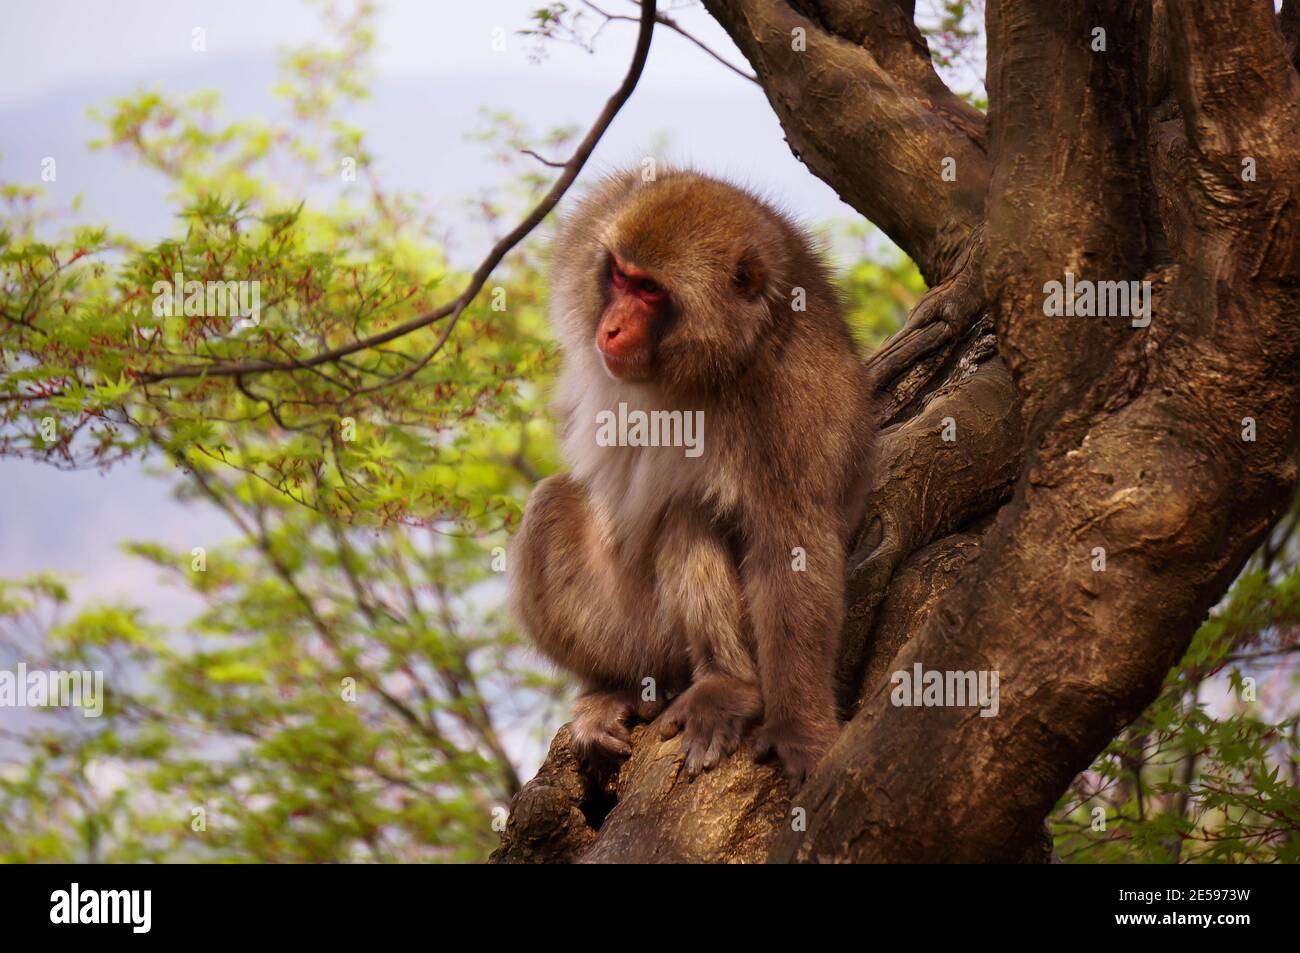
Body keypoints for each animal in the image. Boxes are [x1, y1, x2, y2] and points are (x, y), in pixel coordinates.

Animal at [509, 167, 873, 785]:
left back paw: (727, 685)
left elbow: (792, 543)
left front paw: (799, 725)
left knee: (689, 510)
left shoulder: (791, 400)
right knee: (553, 502)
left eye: (651, 291)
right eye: (621, 276)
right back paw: (617, 688)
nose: (611, 328)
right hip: (638, 635)